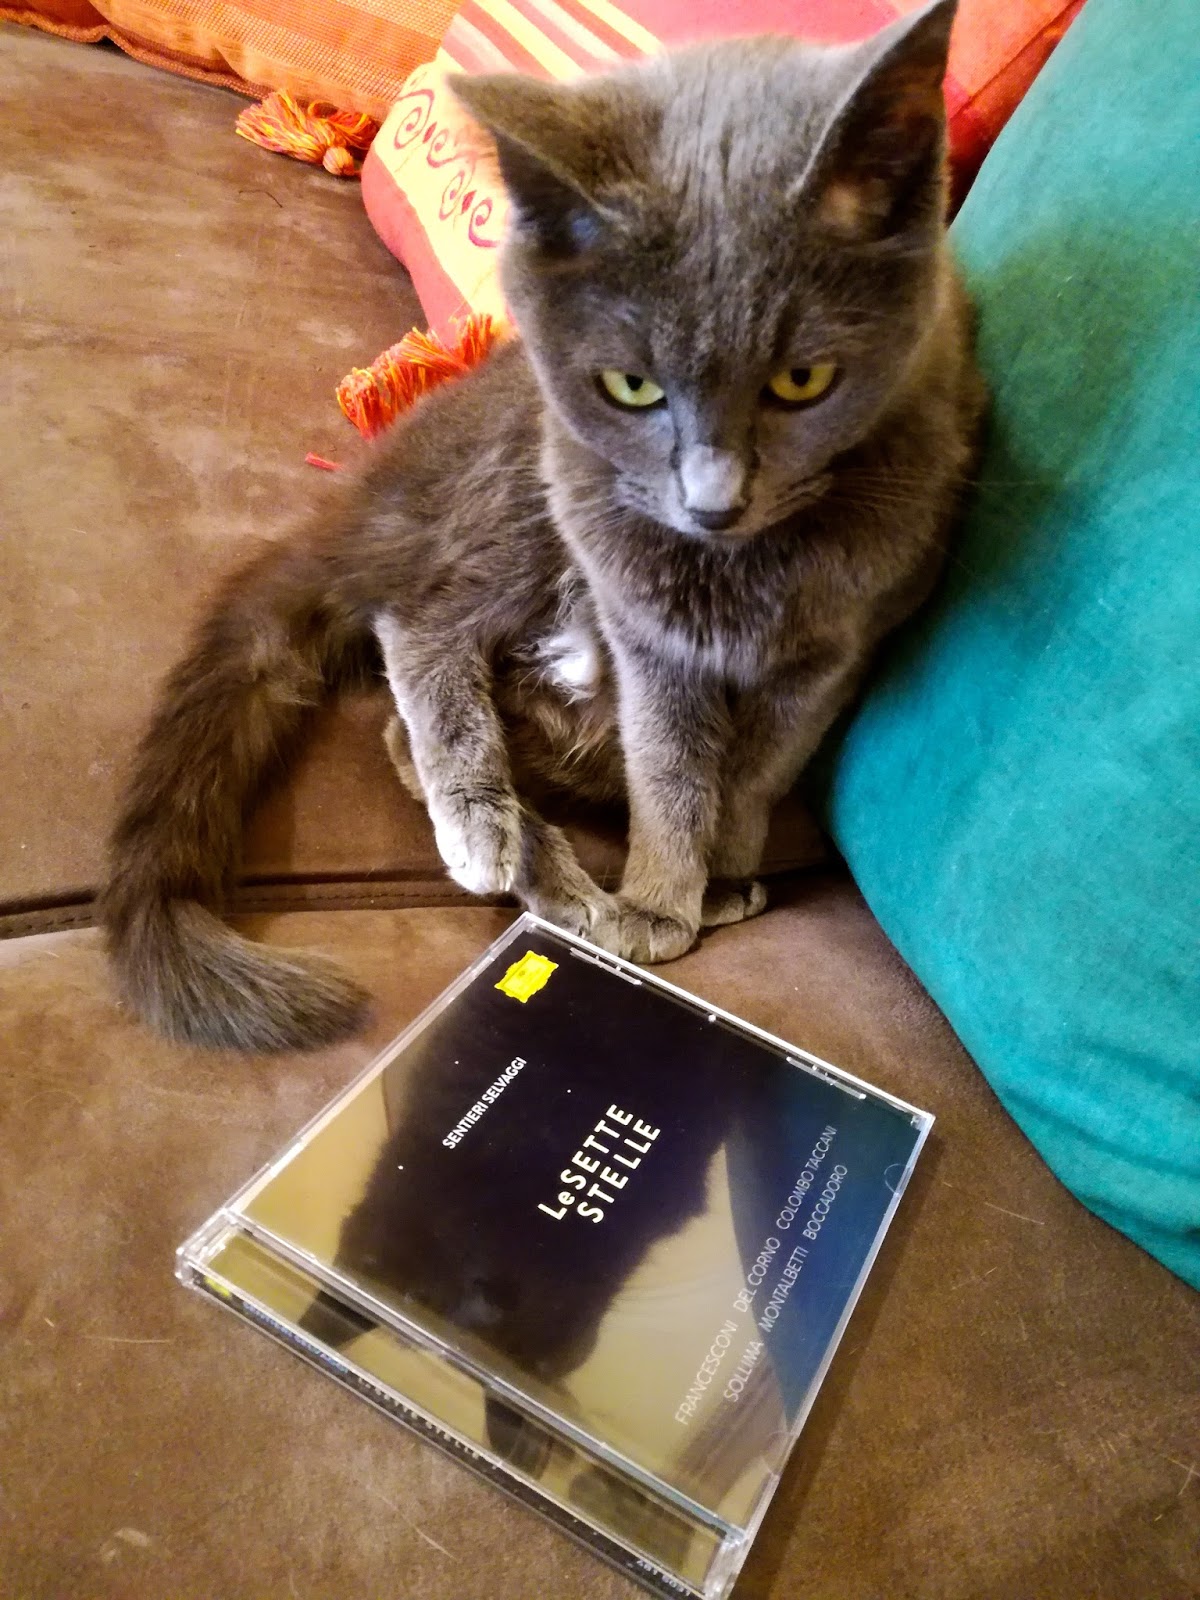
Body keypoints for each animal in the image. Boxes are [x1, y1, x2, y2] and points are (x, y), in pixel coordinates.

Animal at [101, 0, 985, 1052]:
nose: (710, 499)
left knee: (414, 728)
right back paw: (507, 841)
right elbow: (672, 769)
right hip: (527, 494)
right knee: (421, 625)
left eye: (802, 379)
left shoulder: (838, 650)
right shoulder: (647, 637)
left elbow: (761, 770)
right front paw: (662, 901)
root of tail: (374, 492)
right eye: (632, 385)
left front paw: (722, 874)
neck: (743, 567)